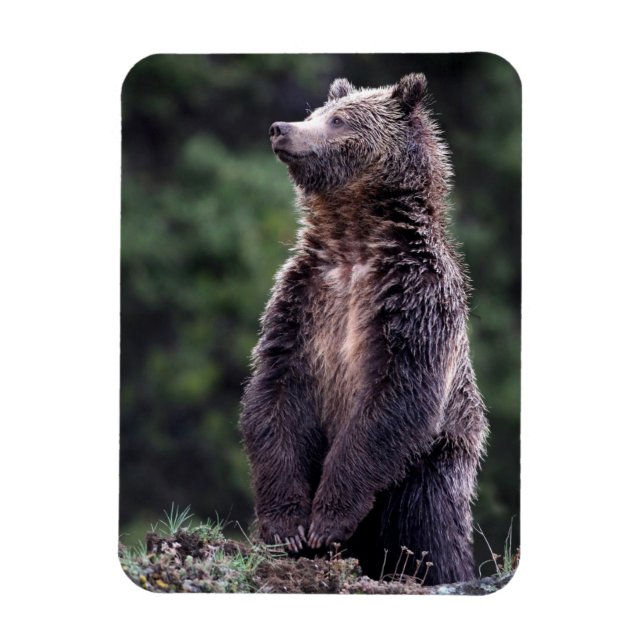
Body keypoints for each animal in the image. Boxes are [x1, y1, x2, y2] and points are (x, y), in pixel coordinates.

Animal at [239, 73, 488, 585]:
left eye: (338, 120)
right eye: (315, 112)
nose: (280, 129)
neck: (354, 240)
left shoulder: (413, 300)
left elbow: (395, 395)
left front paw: (327, 520)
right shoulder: (303, 301)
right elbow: (274, 393)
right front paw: (288, 528)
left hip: (433, 466)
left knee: (429, 527)